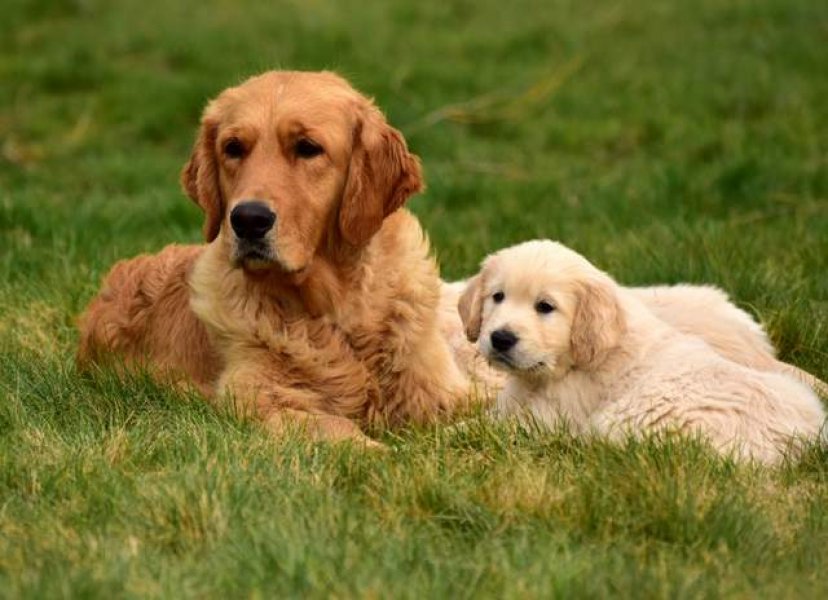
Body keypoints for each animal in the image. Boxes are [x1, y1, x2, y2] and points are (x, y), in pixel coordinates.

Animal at [80, 70, 468, 446]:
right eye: (233, 148)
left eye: (308, 148)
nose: (248, 219)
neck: (338, 314)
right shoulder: (255, 397)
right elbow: (337, 428)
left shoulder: (438, 390)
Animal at [460, 240, 828, 464]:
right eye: (497, 297)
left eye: (545, 307)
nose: (501, 338)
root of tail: (802, 440)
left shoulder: (545, 420)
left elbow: (475, 431)